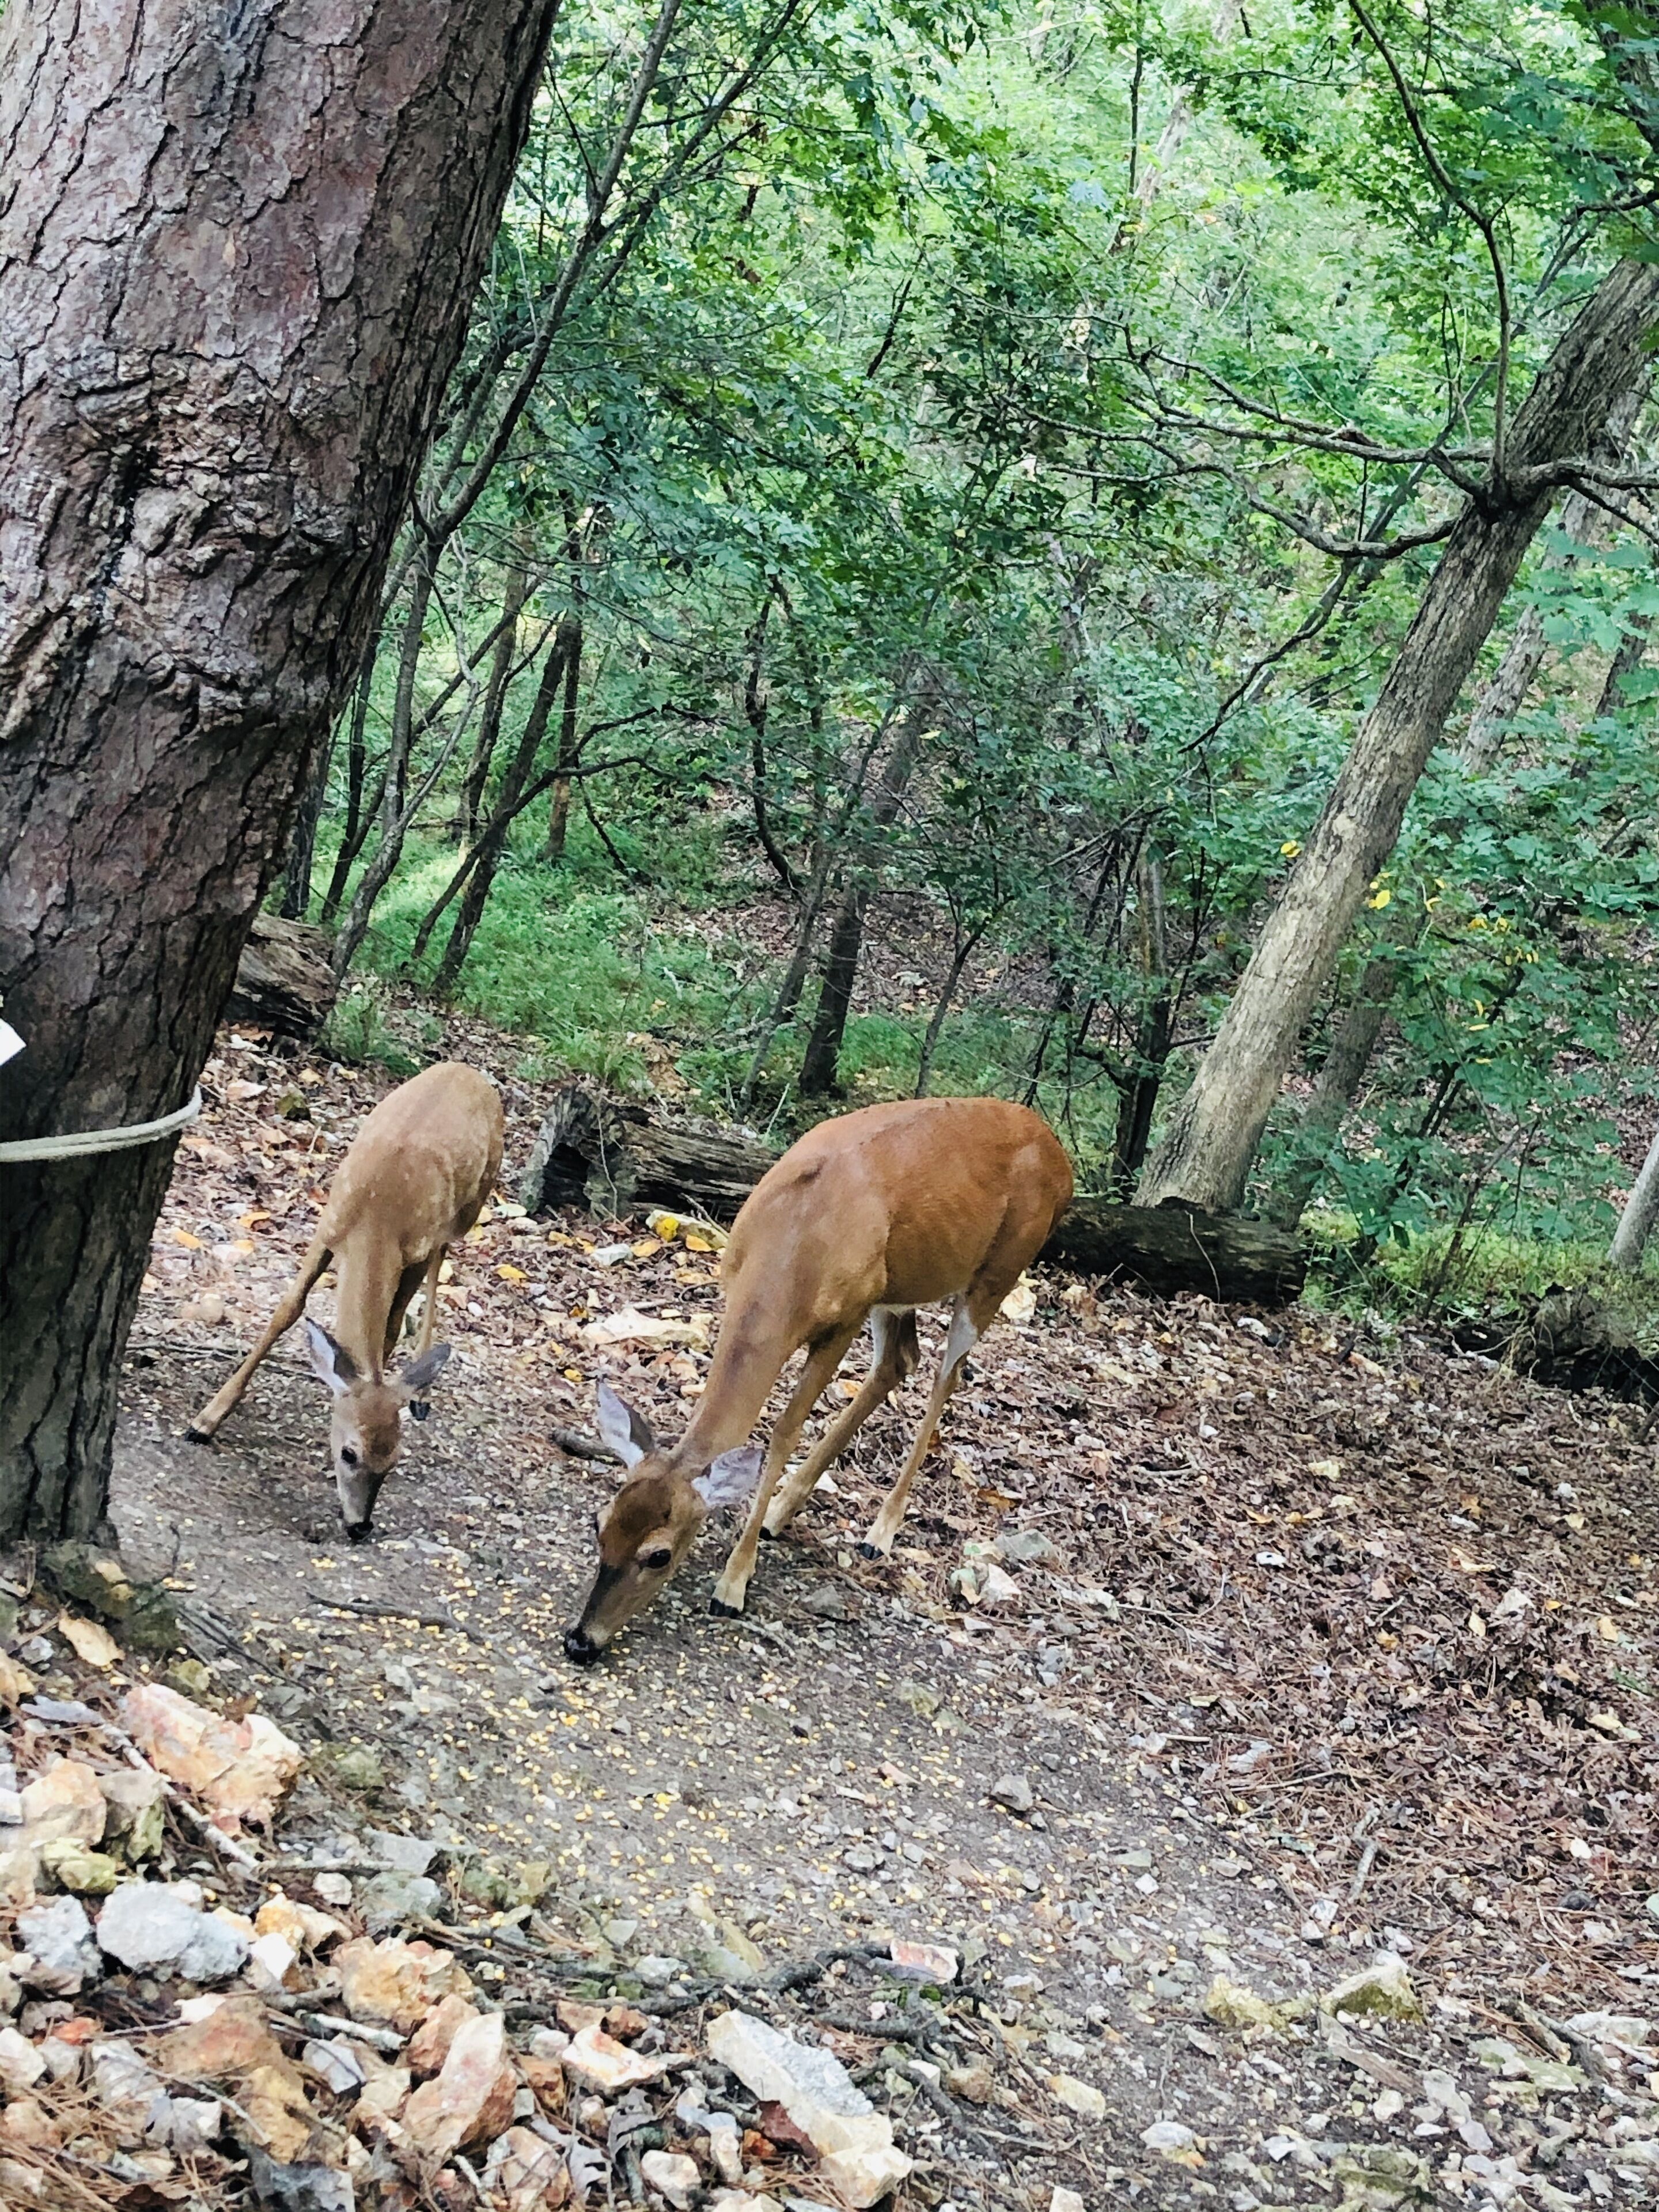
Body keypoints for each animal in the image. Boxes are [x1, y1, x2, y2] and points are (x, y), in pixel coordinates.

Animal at [186, 1060, 504, 1541]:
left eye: (394, 1460)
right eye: (350, 1453)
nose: (360, 1526)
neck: (378, 1218)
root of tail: (469, 1070)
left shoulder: (413, 1251)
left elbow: (390, 1328)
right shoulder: (329, 1227)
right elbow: (289, 1309)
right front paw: (206, 1420)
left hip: (471, 1206)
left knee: (443, 1261)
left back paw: (423, 1388)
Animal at [562, 1094, 1072, 1663]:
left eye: (659, 1555)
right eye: (600, 1524)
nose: (580, 1640)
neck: (796, 1243)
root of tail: (1061, 1159)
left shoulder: (844, 1318)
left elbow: (785, 1429)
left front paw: (733, 1584)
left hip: (1000, 1269)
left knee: (948, 1375)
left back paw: (880, 1531)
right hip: (900, 1287)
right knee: (902, 1359)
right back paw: (784, 1510)